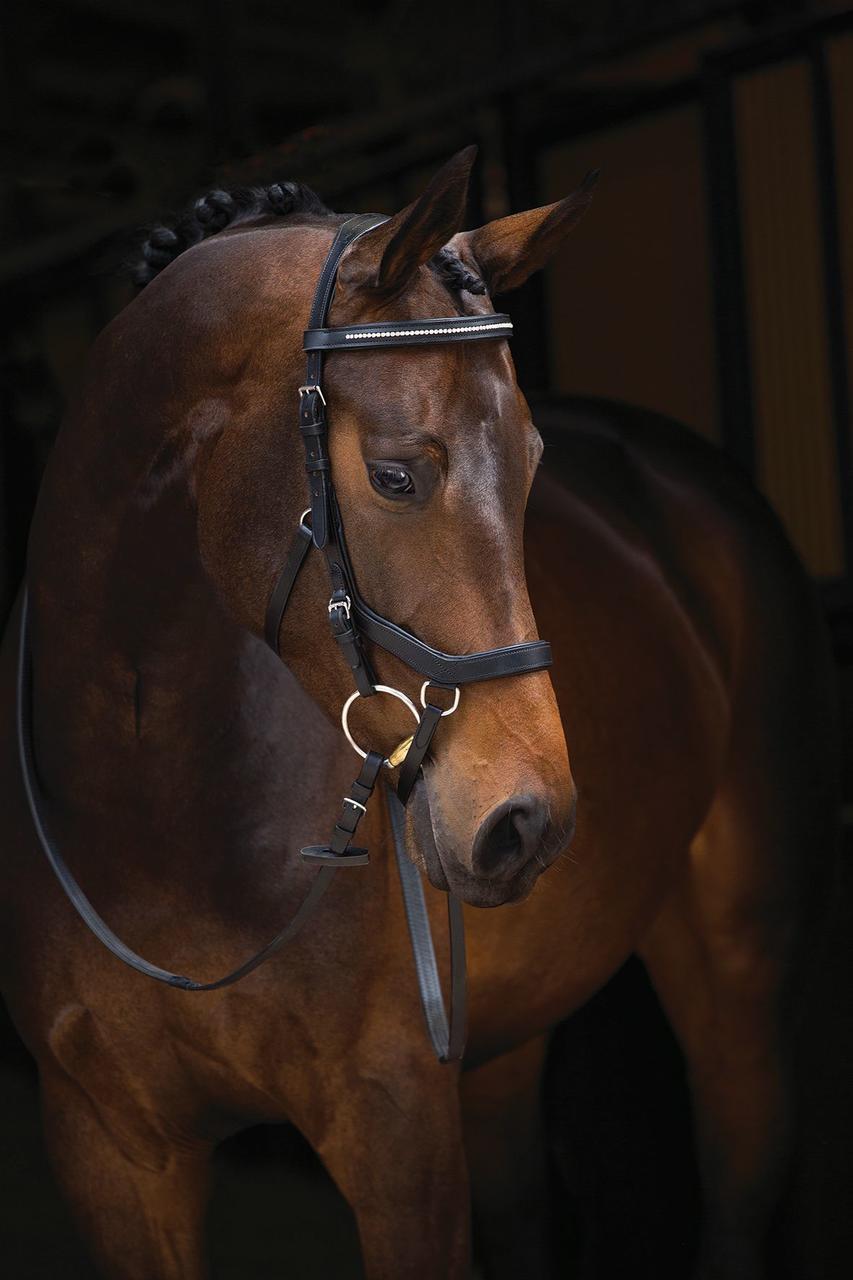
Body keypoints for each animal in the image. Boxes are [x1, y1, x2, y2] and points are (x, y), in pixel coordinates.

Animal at [0, 146, 838, 1279]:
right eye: (396, 474)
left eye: (532, 466)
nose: (527, 819)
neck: (148, 814)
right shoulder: (110, 1154)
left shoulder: (395, 1131)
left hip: (736, 971)